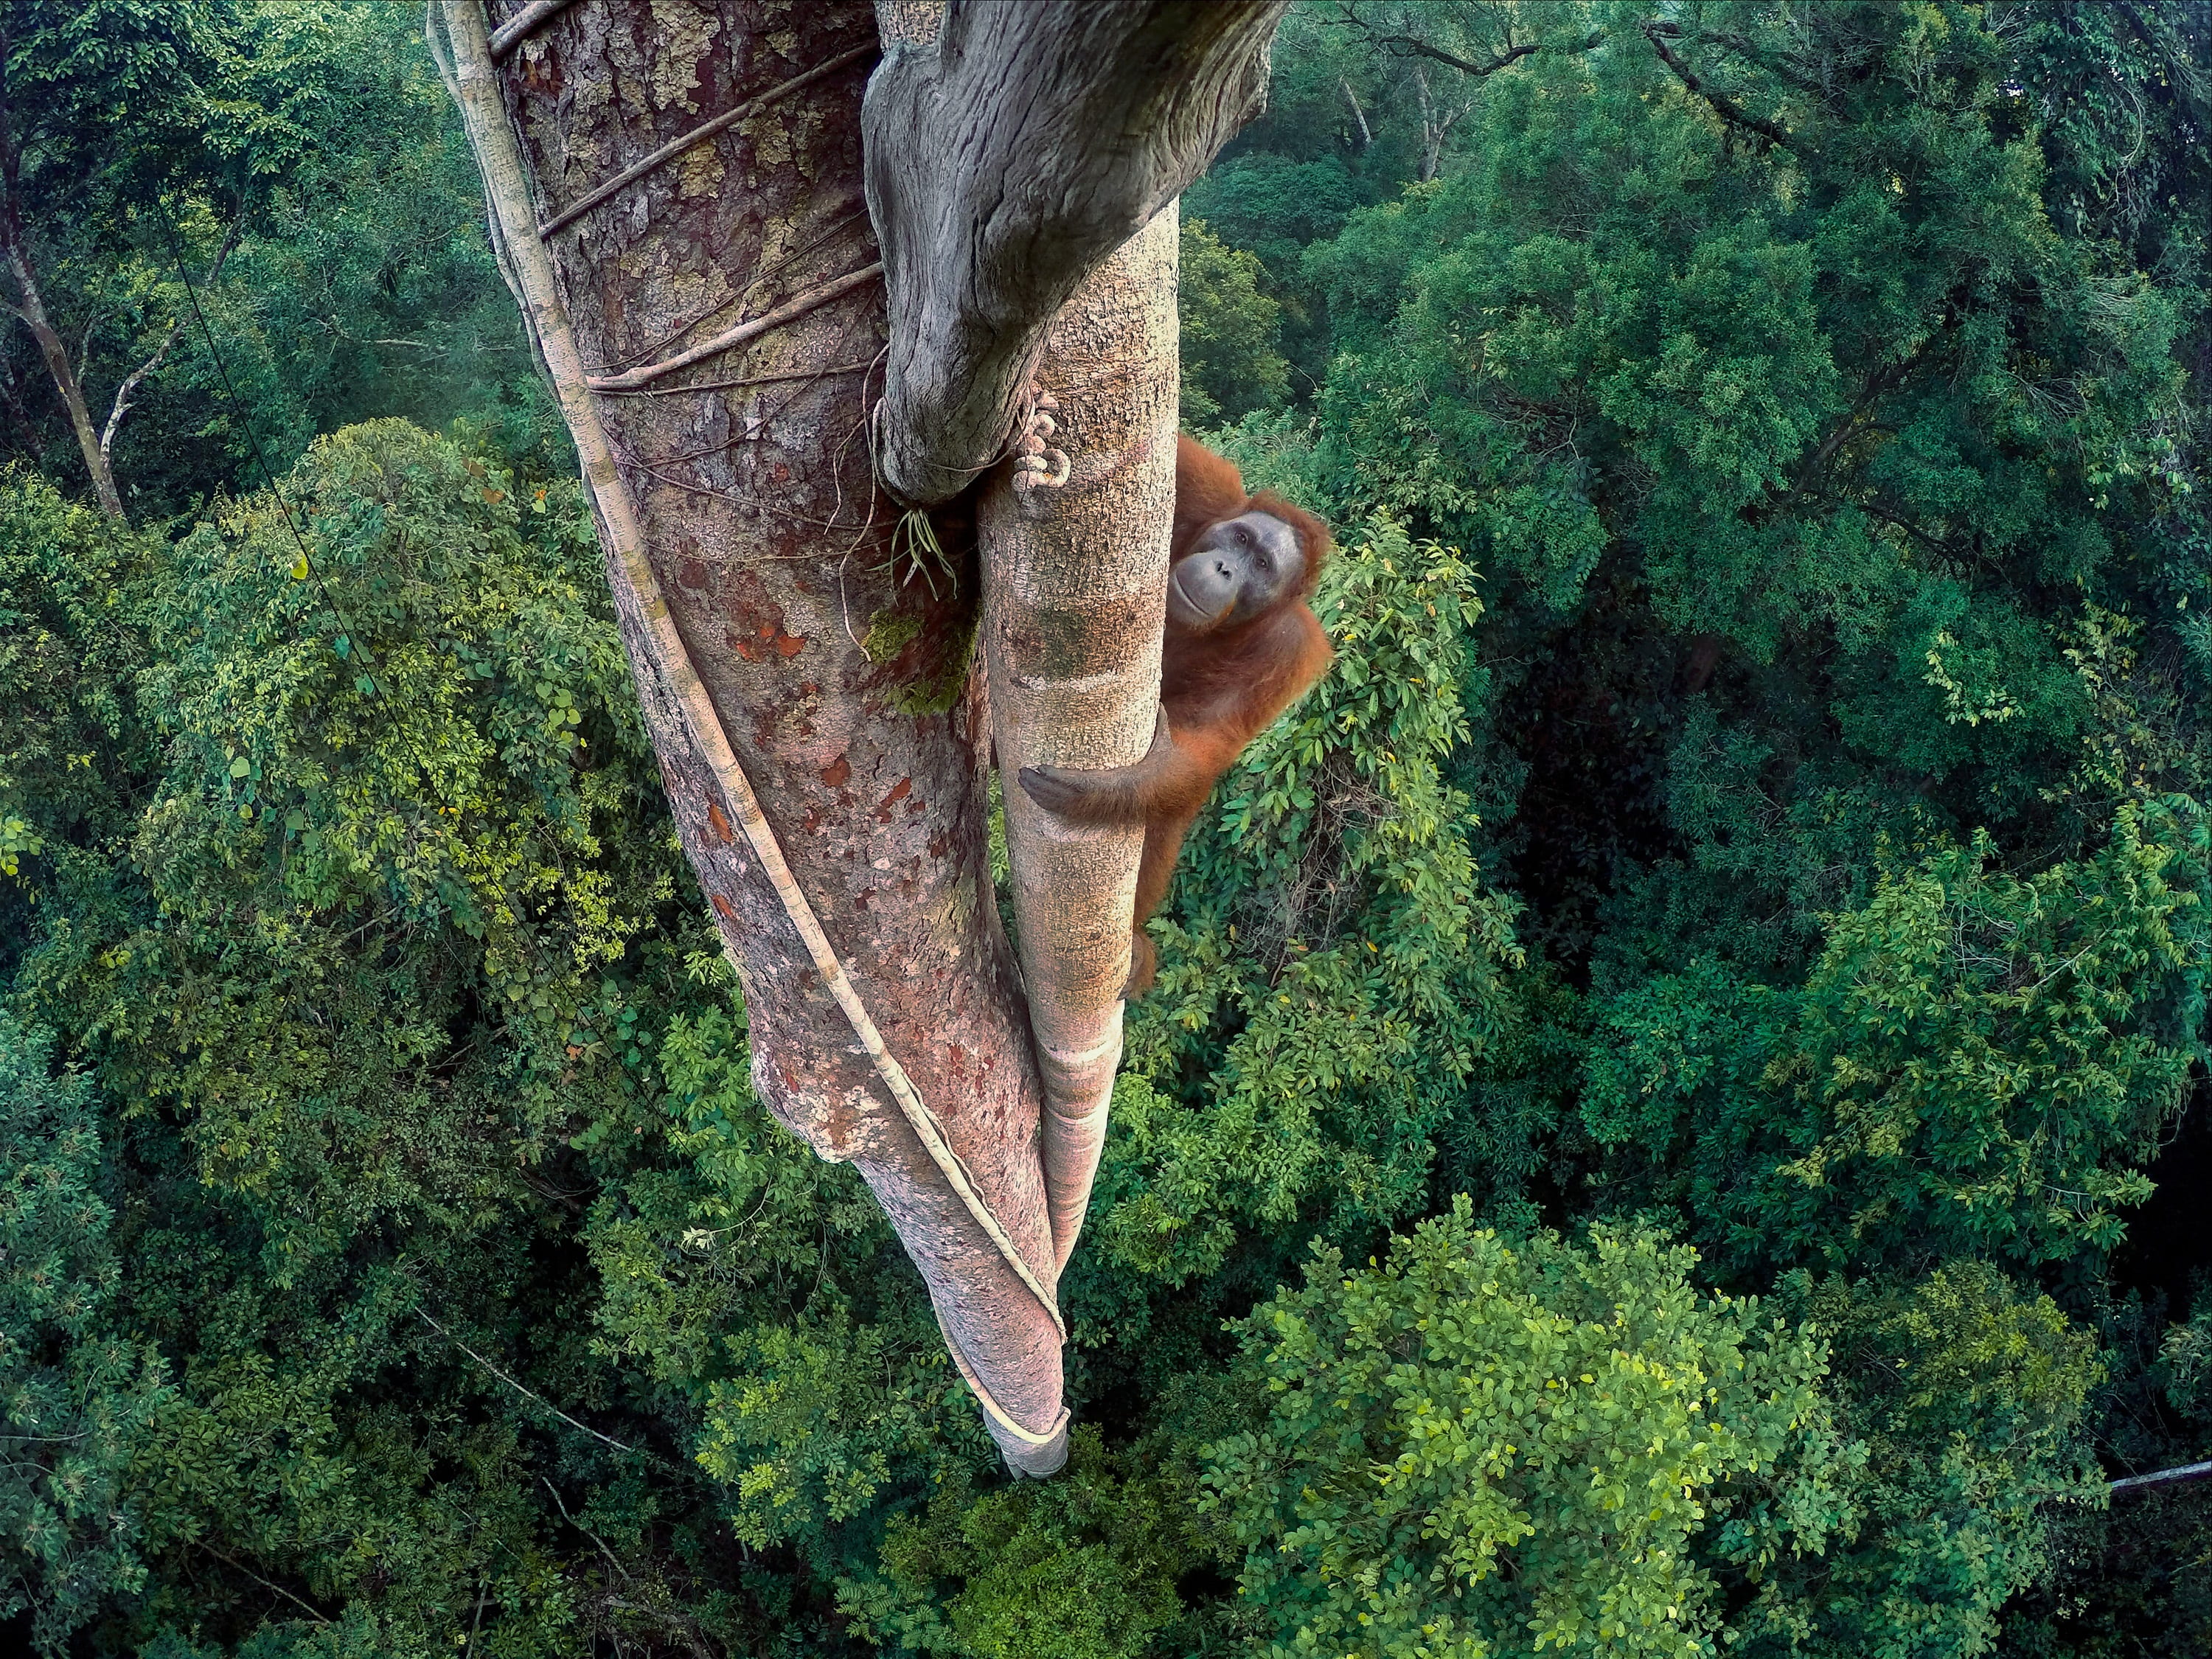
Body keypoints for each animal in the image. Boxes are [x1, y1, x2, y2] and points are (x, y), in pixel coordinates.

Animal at [1018, 434, 1333, 996]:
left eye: (1262, 566)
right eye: (1239, 537)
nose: (1226, 568)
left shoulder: (1289, 648)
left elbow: (1206, 741)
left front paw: (1117, 786)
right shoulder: (1208, 492)